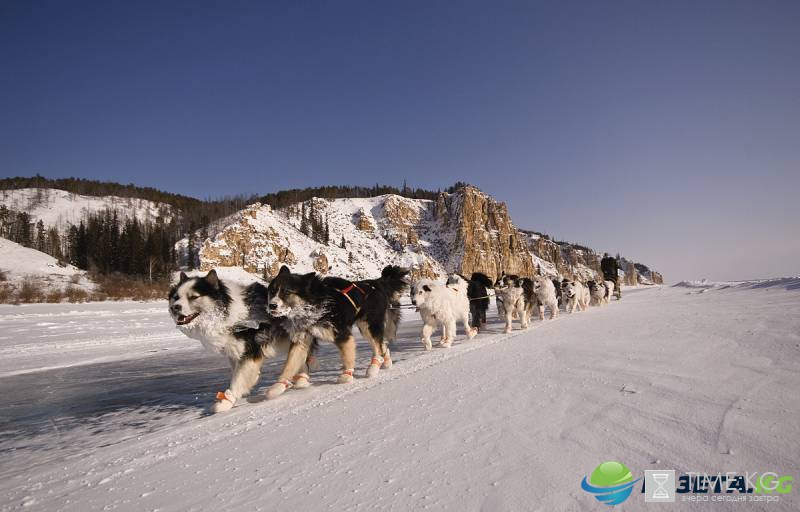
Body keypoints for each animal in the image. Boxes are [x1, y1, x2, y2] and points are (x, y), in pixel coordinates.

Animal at [266, 264, 410, 396]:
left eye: (287, 292)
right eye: (272, 291)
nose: (272, 305)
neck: (315, 304)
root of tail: (375, 283)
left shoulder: (342, 334)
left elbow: (347, 356)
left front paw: (346, 375)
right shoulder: (302, 339)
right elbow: (290, 364)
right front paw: (278, 386)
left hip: (368, 326)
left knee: (378, 347)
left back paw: (373, 367)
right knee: (382, 345)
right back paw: (386, 361)